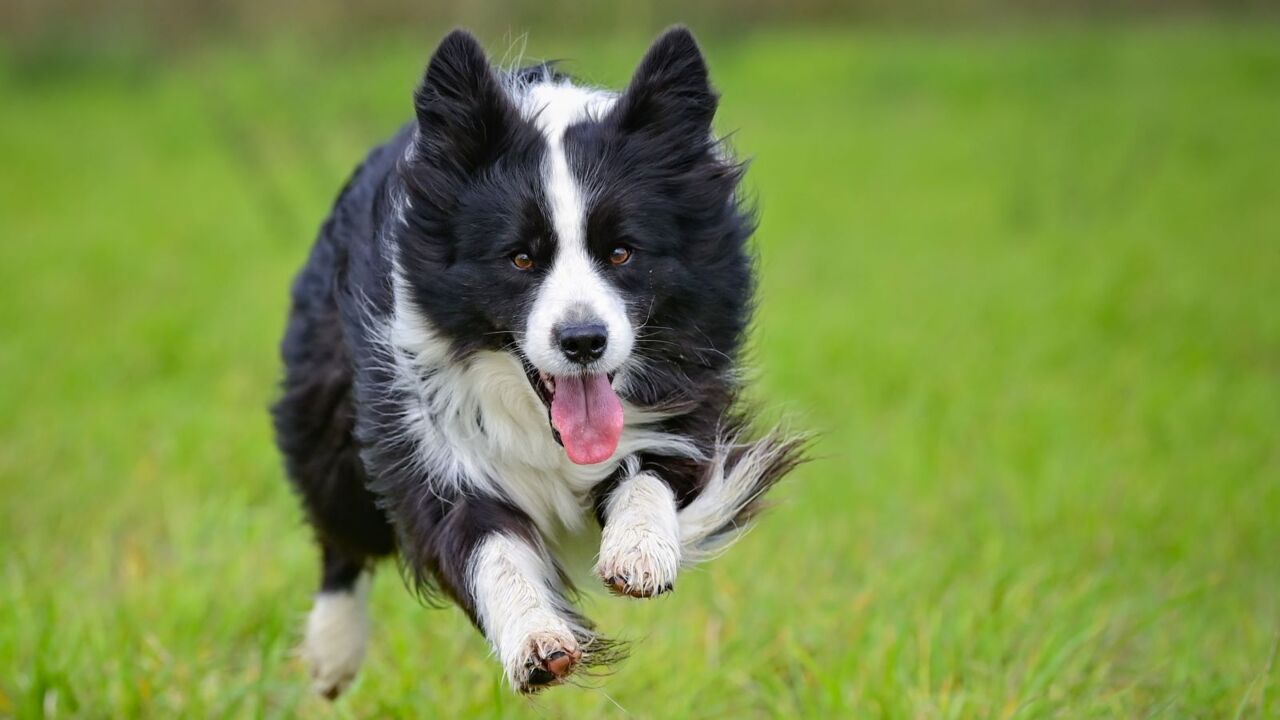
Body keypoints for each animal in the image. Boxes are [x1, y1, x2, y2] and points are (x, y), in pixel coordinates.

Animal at [272, 26, 798, 696]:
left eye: (622, 252)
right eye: (520, 258)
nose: (583, 341)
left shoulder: (688, 393)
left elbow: (653, 469)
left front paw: (639, 552)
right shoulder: (422, 427)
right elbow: (483, 542)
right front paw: (535, 639)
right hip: (326, 402)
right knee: (341, 530)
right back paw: (332, 653)